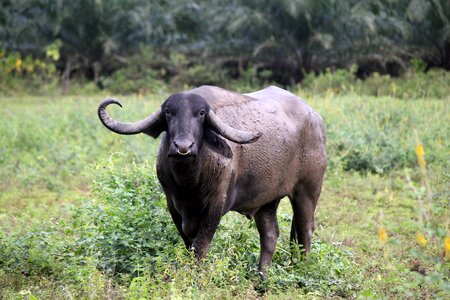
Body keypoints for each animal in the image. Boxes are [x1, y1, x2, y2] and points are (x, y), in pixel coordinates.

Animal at [97, 85, 326, 278]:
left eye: (201, 113)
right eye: (169, 112)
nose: (183, 147)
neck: (189, 183)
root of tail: (315, 119)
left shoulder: (216, 204)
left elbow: (201, 246)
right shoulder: (173, 205)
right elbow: (189, 243)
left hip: (307, 191)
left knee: (305, 230)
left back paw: (302, 271)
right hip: (267, 201)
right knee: (270, 235)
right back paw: (261, 278)